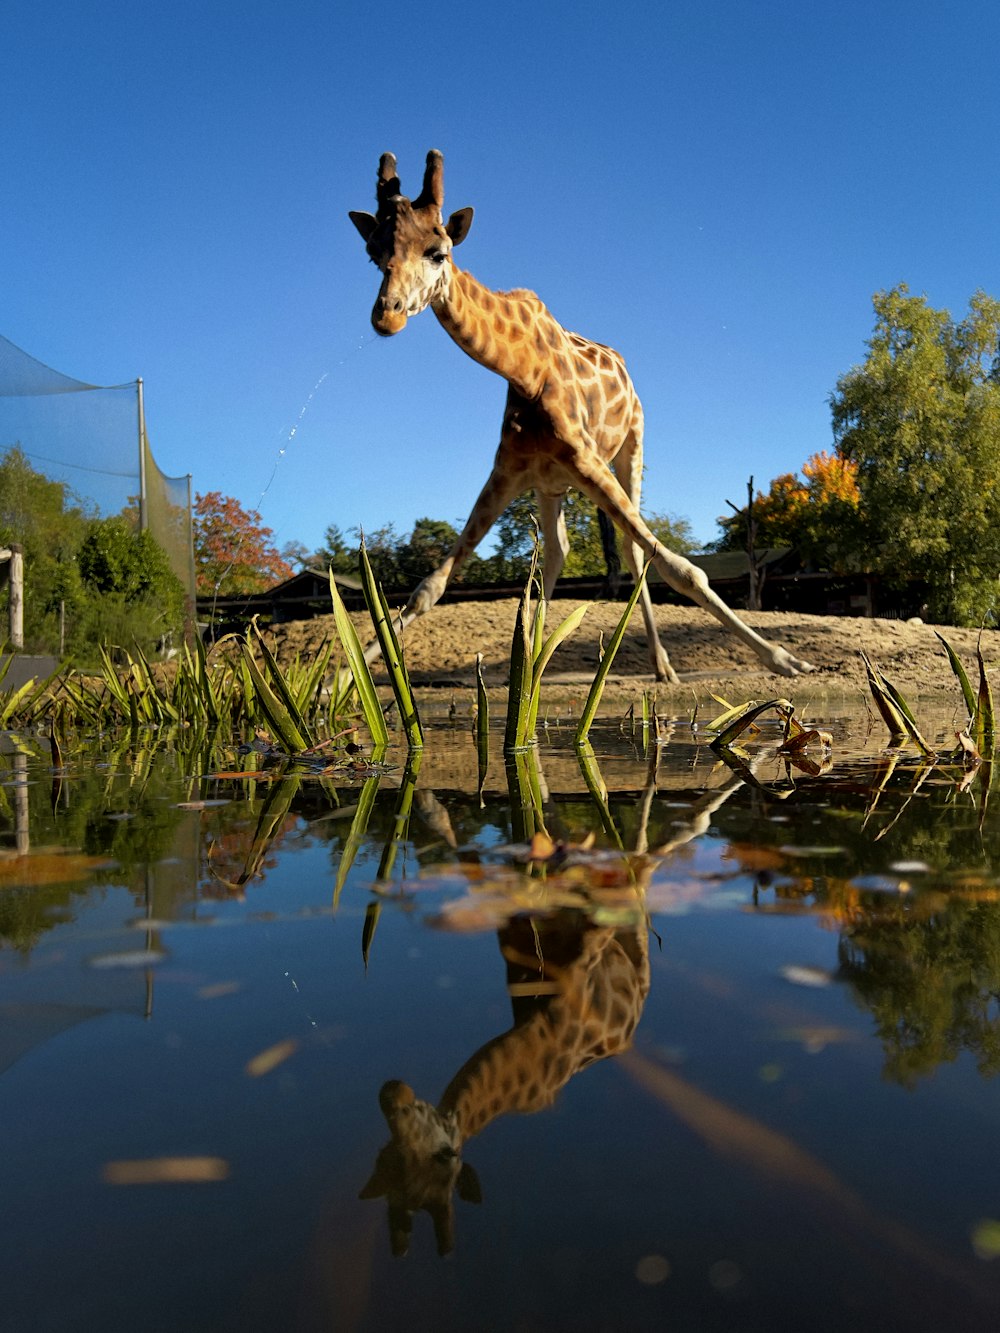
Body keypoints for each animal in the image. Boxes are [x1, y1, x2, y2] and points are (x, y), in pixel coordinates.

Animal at [349, 151, 810, 682]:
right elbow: (432, 586)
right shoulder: (509, 470)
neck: (524, 370)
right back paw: (531, 664)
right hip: (553, 484)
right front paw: (338, 682)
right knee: (558, 552)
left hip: (630, 446)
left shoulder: (585, 459)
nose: (387, 315)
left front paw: (785, 659)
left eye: (438, 252)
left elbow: (683, 569)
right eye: (373, 252)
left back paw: (662, 667)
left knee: (631, 551)